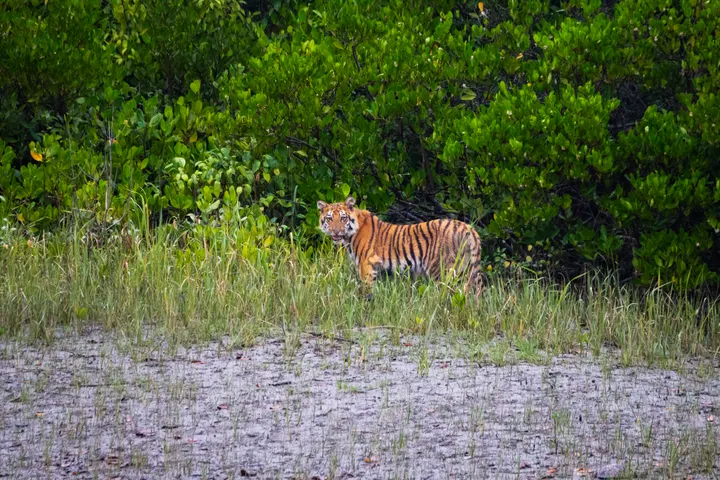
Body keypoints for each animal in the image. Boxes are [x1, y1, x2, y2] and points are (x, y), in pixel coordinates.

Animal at [317, 196, 483, 295]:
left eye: (343, 218)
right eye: (330, 218)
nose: (336, 231)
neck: (349, 236)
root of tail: (468, 228)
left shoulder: (366, 264)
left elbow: (367, 289)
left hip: (443, 270)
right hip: (466, 268)